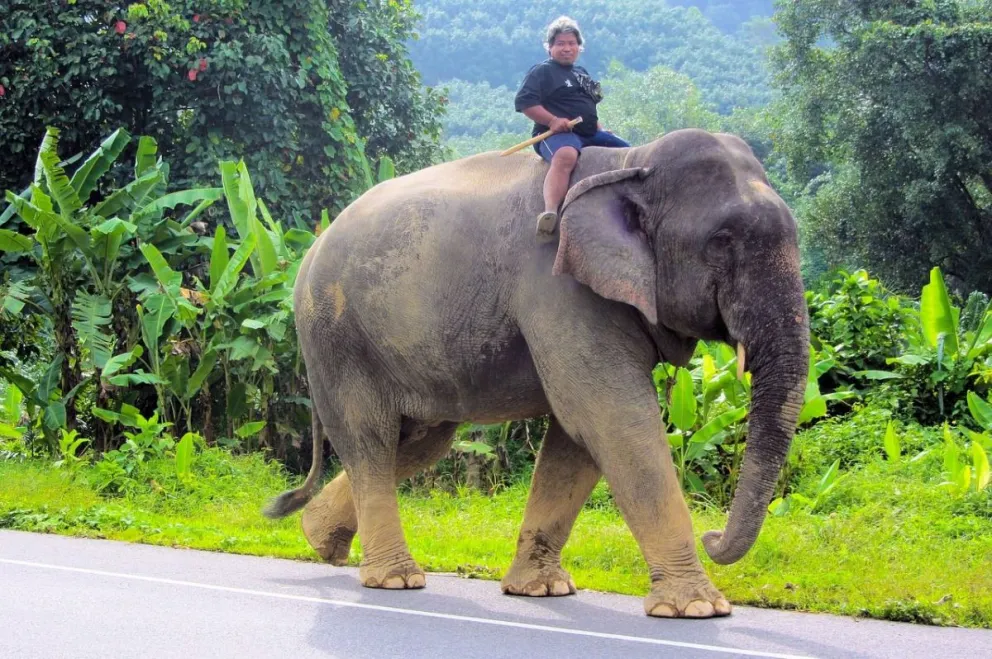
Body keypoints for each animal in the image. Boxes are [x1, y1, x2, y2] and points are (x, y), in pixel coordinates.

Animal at [263, 128, 810, 619]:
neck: (633, 160)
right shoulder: (559, 288)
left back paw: (319, 539)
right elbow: (611, 418)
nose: (713, 534)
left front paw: (543, 591)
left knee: (418, 442)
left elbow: (578, 439)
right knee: (370, 437)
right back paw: (395, 579)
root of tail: (310, 249)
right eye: (722, 241)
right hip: (334, 334)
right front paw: (698, 608)